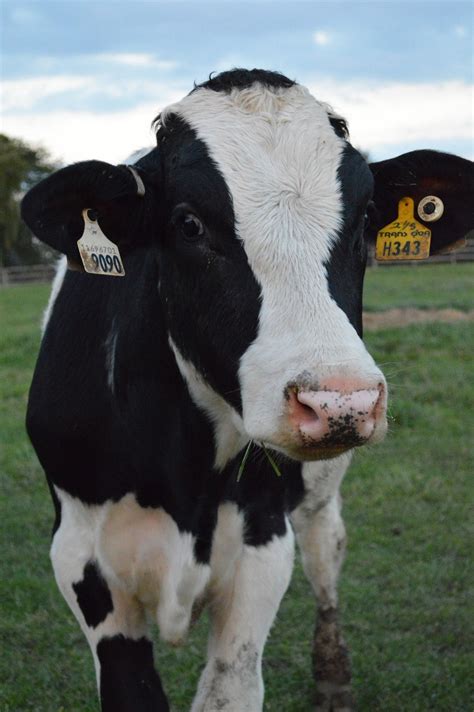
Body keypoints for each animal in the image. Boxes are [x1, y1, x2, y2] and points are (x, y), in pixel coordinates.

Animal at [20, 68, 472, 712]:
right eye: (188, 223)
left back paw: (333, 674)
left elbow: (230, 682)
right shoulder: (81, 559)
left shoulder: (262, 543)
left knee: (326, 555)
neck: (180, 476)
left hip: (318, 496)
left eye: (365, 217)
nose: (341, 401)